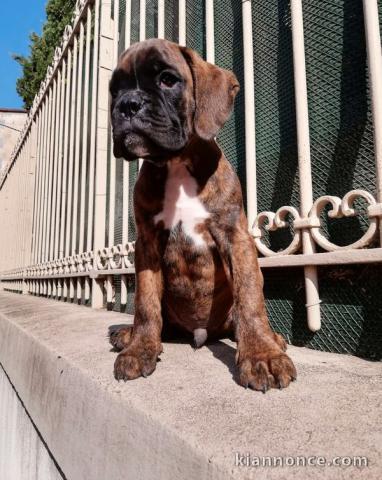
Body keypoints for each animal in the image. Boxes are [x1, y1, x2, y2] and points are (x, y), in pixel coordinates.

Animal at [109, 37, 296, 390]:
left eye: (167, 79)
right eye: (115, 90)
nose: (126, 104)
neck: (176, 163)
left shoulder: (234, 236)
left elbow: (249, 296)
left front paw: (261, 355)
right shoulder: (147, 243)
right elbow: (145, 303)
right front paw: (140, 348)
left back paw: (272, 338)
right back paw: (128, 334)